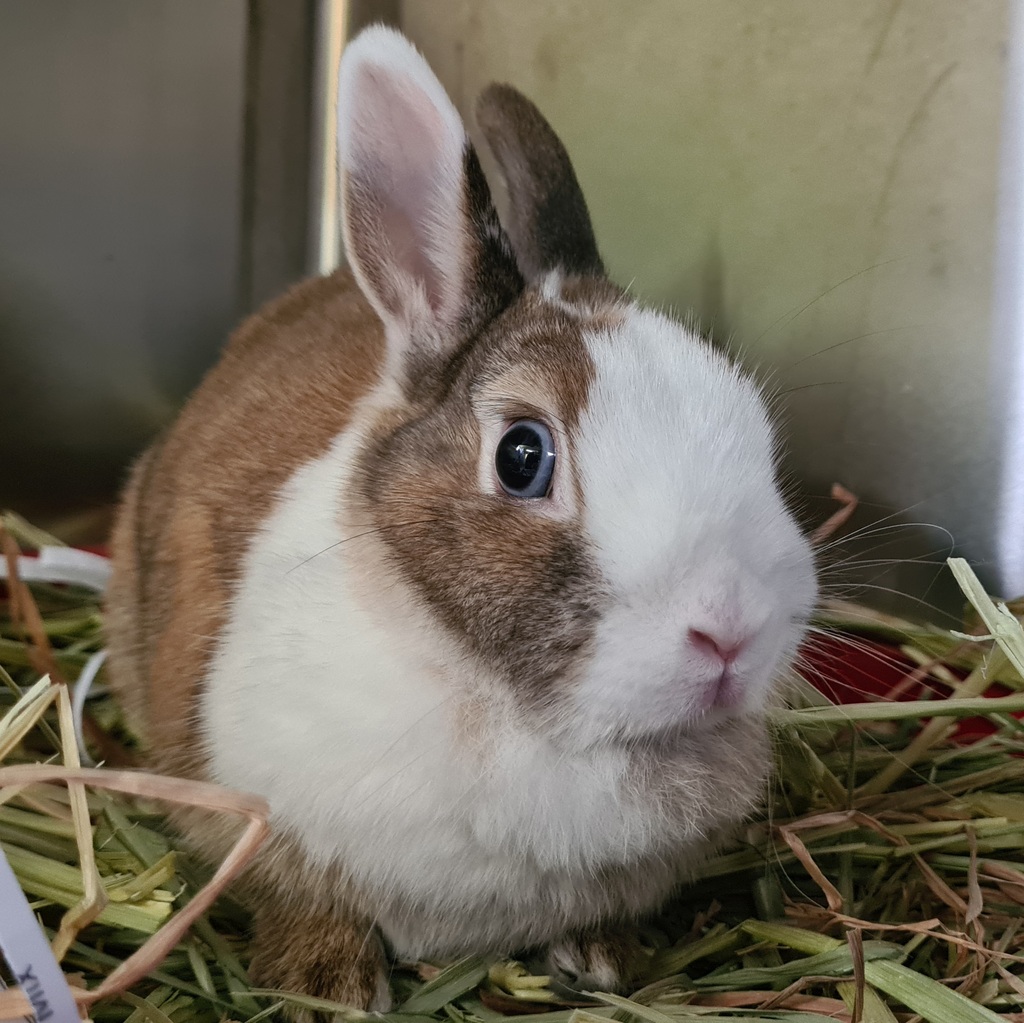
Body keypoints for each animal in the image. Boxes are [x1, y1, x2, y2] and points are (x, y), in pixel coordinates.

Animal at [104, 24, 818, 1018]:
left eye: (751, 423)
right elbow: (298, 899)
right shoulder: (253, 813)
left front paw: (602, 957)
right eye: (522, 455)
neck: (527, 718)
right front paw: (326, 985)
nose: (733, 632)